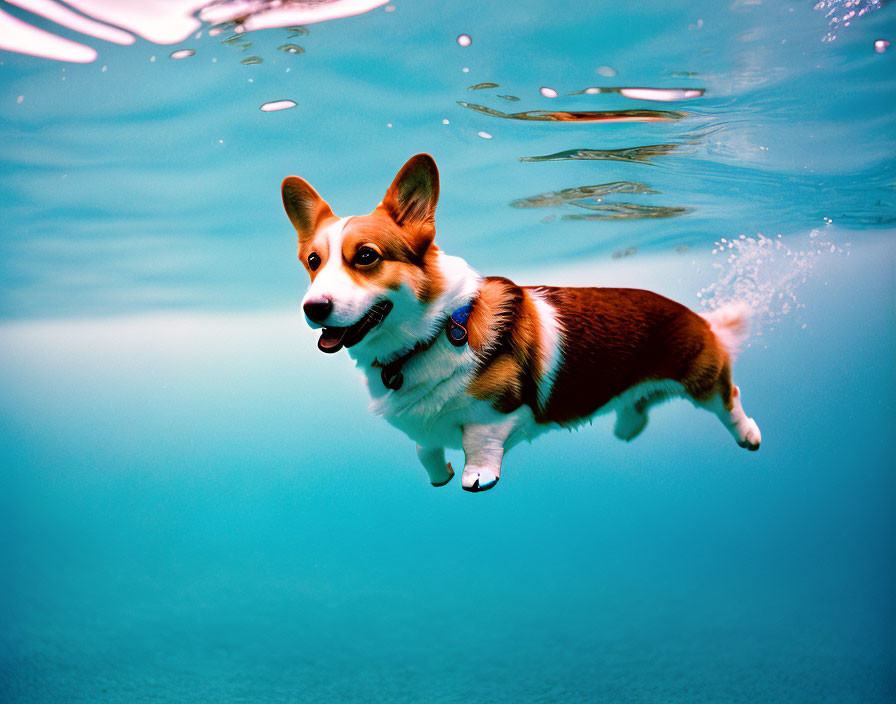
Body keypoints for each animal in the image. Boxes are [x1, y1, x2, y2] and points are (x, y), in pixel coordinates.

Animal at [284, 153, 760, 496]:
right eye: (314, 261)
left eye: (366, 256)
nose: (313, 308)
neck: (433, 333)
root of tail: (697, 315)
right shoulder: (424, 427)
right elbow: (424, 450)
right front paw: (440, 474)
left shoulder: (494, 412)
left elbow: (478, 441)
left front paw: (475, 477)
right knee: (639, 403)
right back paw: (627, 427)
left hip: (701, 377)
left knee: (729, 396)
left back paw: (749, 436)